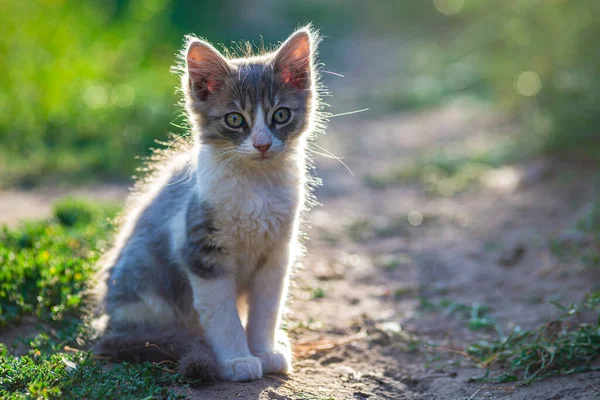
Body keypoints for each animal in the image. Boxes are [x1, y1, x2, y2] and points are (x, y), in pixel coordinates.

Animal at [95, 26, 324, 382]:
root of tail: (110, 326)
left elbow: (266, 311)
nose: (262, 144)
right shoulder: (203, 251)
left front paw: (265, 351)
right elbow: (223, 316)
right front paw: (237, 360)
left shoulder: (277, 254)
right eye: (235, 119)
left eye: (281, 115)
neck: (256, 188)